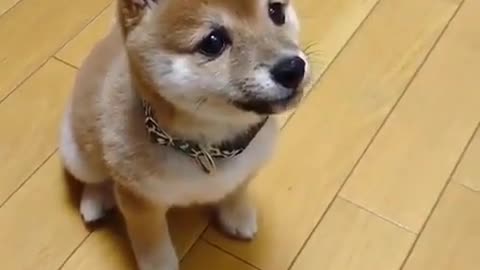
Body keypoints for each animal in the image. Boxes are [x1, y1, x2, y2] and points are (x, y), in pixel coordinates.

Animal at [59, 0, 312, 268]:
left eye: (276, 11)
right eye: (213, 42)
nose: (293, 68)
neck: (207, 147)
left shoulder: (248, 168)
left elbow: (237, 190)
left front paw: (237, 214)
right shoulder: (140, 201)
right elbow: (152, 242)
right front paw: (160, 264)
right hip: (78, 155)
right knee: (95, 176)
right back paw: (95, 200)